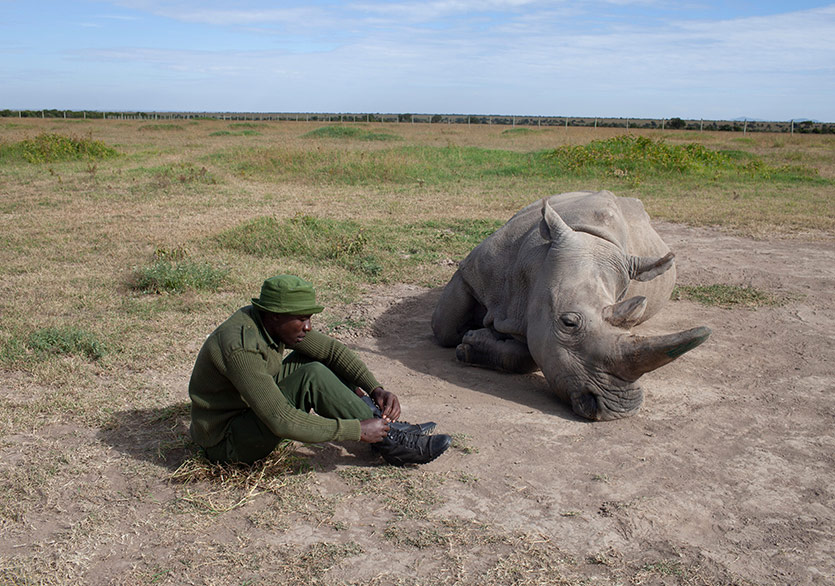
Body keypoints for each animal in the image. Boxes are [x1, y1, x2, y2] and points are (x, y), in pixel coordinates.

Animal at [432, 189, 712, 418]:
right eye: (568, 323)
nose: (620, 409)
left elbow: (529, 355)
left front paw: (474, 342)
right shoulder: (472, 272)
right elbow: (444, 326)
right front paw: (467, 339)